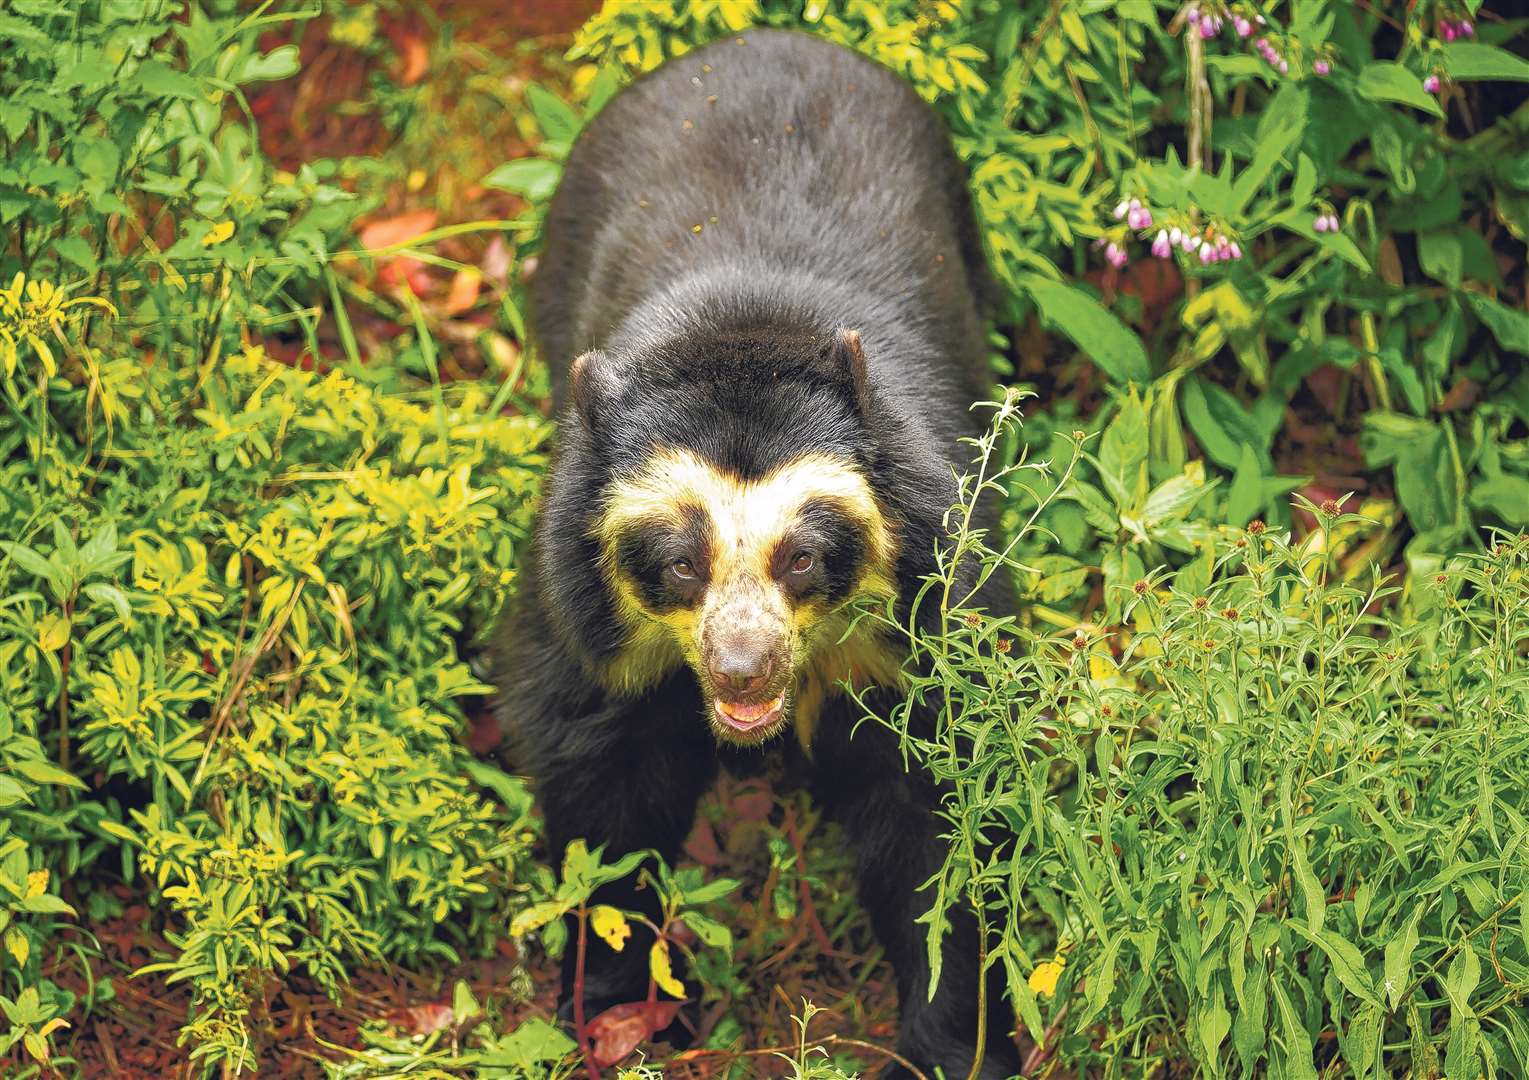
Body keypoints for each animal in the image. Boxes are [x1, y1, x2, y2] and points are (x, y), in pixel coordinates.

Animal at [501, 25, 1021, 1076]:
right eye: (678, 564)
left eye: (803, 558)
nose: (744, 670)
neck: (742, 321)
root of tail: (768, 38)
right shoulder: (581, 623)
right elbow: (601, 795)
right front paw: (621, 1010)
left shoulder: (930, 605)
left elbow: (936, 809)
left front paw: (952, 1042)